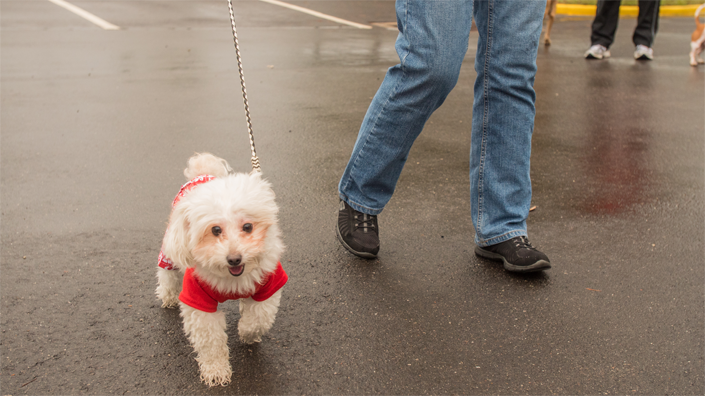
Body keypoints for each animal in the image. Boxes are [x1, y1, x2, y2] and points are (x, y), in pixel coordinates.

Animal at [155, 152, 286, 386]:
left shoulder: (268, 283)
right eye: (215, 230)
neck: (232, 278)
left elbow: (258, 319)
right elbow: (210, 340)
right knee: (167, 274)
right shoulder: (197, 297)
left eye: (248, 227)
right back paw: (168, 296)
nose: (234, 259)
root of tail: (203, 172)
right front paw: (216, 370)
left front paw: (246, 333)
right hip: (170, 246)